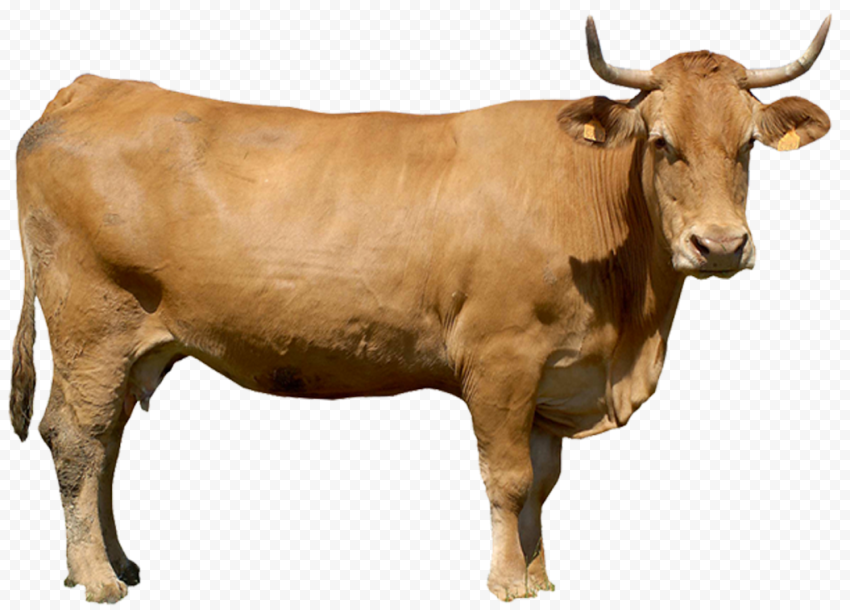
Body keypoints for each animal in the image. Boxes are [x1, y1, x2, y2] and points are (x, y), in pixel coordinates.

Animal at [10, 16, 831, 603]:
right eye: (662, 144)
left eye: (748, 145)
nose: (720, 245)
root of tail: (89, 88)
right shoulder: (501, 359)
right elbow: (507, 476)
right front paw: (506, 582)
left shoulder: (552, 373)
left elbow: (542, 480)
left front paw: (538, 576)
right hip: (91, 322)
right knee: (75, 438)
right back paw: (97, 577)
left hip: (130, 343)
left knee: (107, 442)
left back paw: (113, 560)